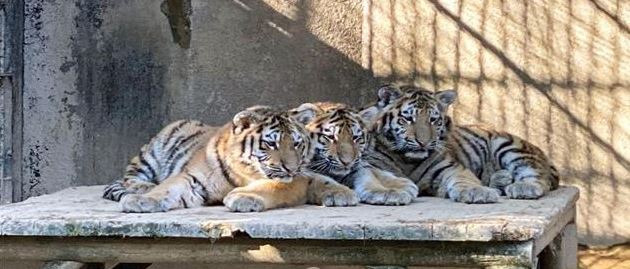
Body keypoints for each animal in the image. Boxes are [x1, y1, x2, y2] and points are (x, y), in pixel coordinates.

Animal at [105, 104, 358, 211]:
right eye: (271, 143)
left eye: (296, 143)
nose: (291, 168)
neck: (244, 171)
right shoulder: (193, 178)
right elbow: (166, 188)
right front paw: (142, 200)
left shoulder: (293, 182)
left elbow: (271, 186)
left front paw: (241, 197)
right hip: (151, 153)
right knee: (127, 178)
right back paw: (141, 188)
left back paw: (343, 194)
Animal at [290, 101, 420, 204]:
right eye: (330, 137)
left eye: (356, 138)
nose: (347, 162)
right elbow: (320, 179)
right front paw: (340, 193)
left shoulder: (356, 167)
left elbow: (367, 175)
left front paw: (386, 192)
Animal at [360, 85, 564, 202]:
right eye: (408, 119)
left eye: (433, 120)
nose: (424, 143)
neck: (407, 160)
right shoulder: (372, 164)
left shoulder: (450, 167)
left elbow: (464, 179)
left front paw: (477, 192)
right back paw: (501, 179)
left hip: (509, 145)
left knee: (537, 174)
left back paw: (523, 187)